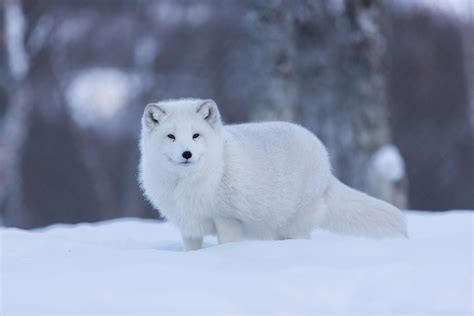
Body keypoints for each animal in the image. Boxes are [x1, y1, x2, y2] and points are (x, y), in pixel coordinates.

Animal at [138, 97, 408, 251]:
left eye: (196, 135)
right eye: (171, 136)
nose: (187, 153)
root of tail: (326, 165)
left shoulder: (227, 220)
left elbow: (227, 247)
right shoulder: (189, 226)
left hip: (293, 225)